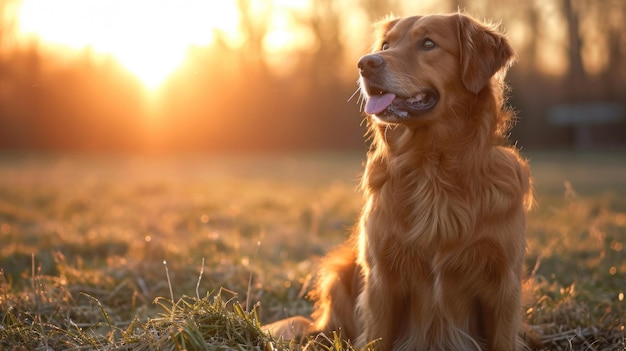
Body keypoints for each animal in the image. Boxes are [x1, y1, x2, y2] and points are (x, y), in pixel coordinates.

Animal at [262, 12, 532, 350]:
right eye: (386, 45)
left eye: (428, 43)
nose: (365, 64)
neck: (432, 166)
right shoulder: (382, 277)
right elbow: (377, 336)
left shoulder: (503, 281)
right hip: (339, 271)